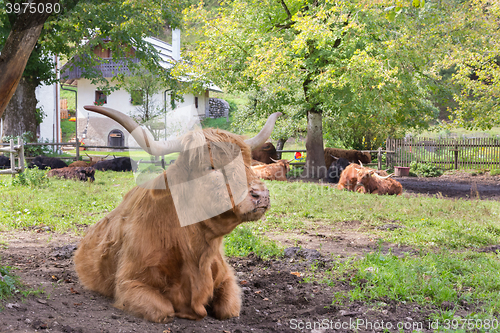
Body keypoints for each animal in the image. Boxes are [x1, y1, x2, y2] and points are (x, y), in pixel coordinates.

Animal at [73, 105, 282, 322]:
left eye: (248, 163)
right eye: (210, 166)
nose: (261, 194)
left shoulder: (227, 277)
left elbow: (228, 309)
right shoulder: (129, 284)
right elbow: (164, 310)